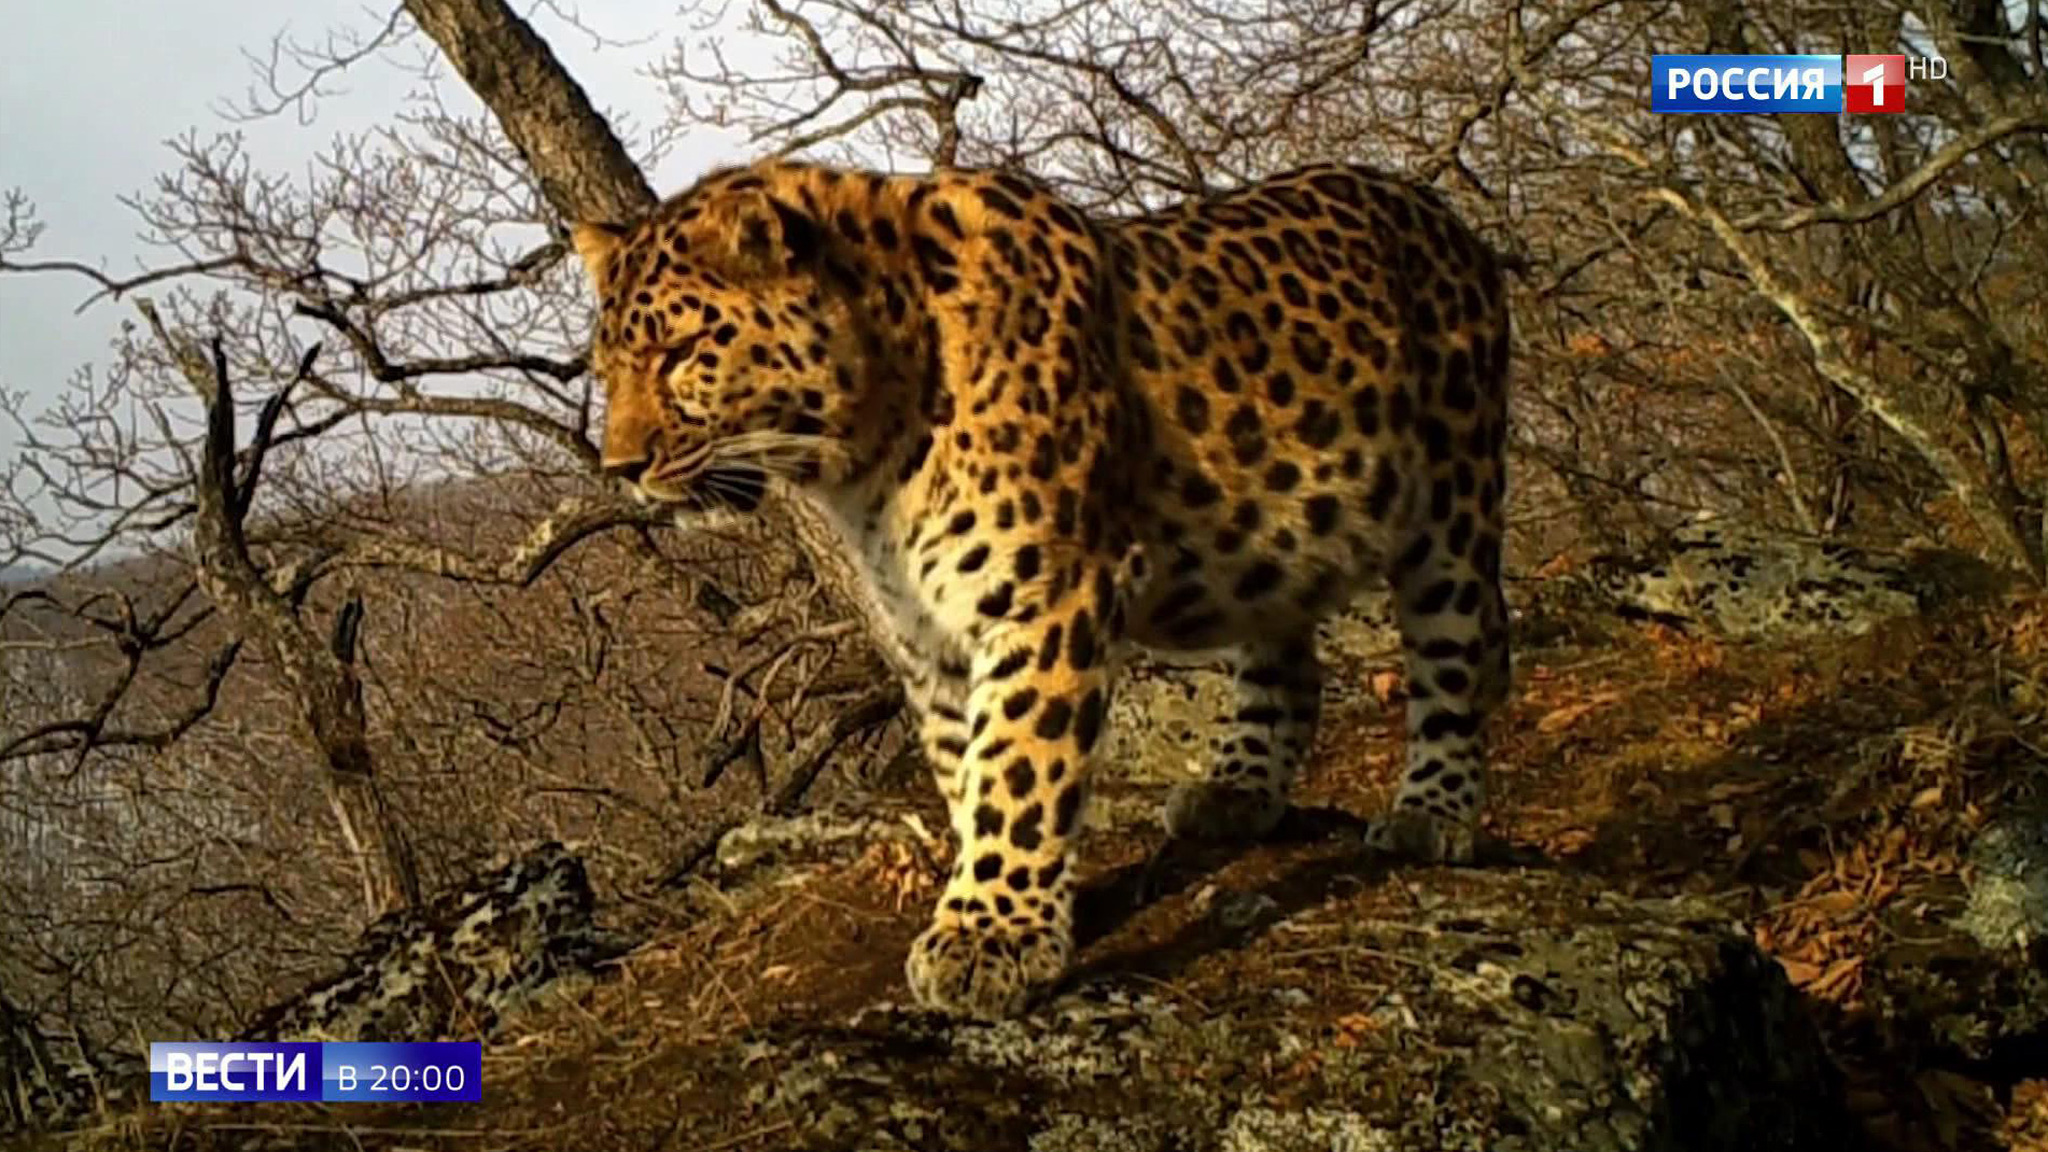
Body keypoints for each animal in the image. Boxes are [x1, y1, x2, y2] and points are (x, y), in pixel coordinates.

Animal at [568, 156, 1513, 1021]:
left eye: (682, 354)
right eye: (607, 371)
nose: (621, 470)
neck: (871, 451)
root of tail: (1434, 205)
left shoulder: (1047, 593)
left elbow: (1021, 761)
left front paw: (991, 937)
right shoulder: (928, 634)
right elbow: (965, 771)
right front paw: (1000, 902)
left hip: (1453, 505)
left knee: (1454, 659)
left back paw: (1433, 810)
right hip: (1273, 542)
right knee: (1288, 665)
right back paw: (1237, 793)